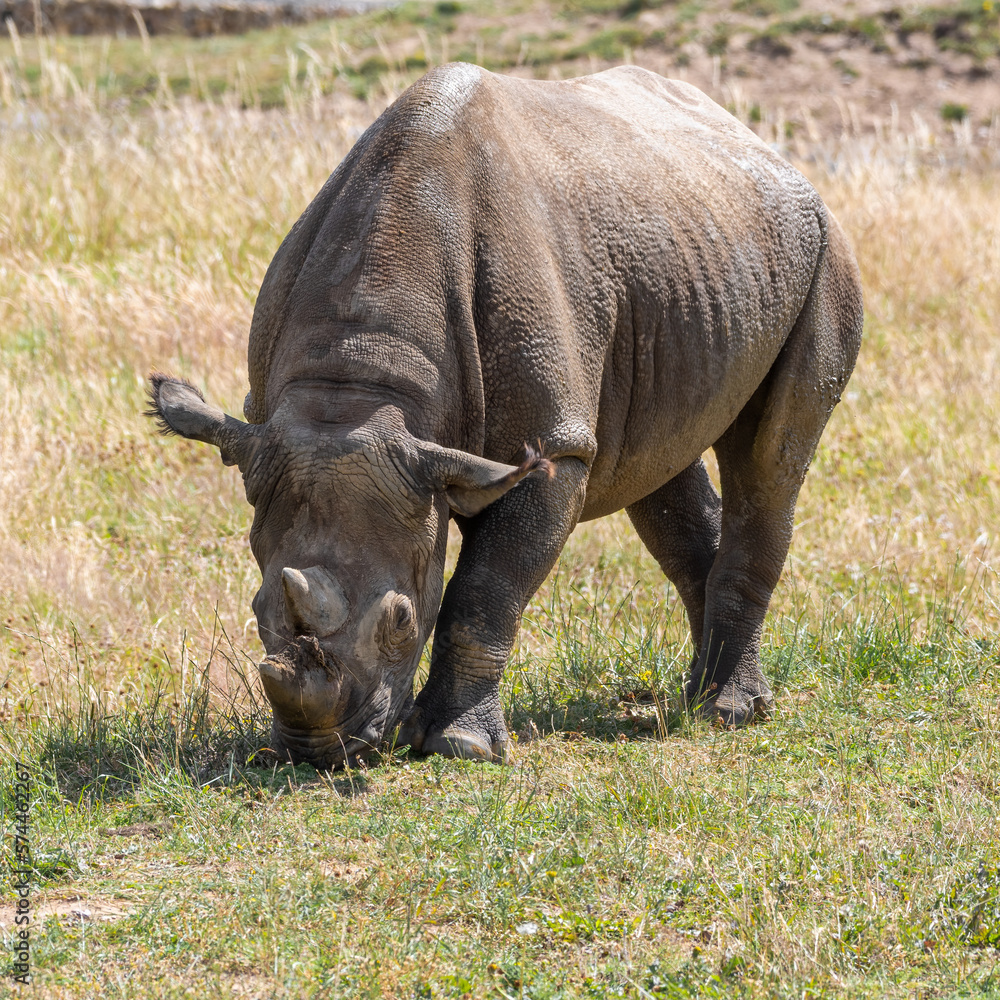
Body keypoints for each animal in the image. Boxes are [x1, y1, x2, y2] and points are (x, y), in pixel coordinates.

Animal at [148, 63, 863, 769]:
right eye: (255, 606)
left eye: (401, 621)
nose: (320, 751)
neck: (366, 380)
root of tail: (764, 146)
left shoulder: (553, 448)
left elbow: (483, 593)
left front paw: (459, 746)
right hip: (694, 256)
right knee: (659, 464)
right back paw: (703, 698)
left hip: (823, 248)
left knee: (768, 462)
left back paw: (730, 712)